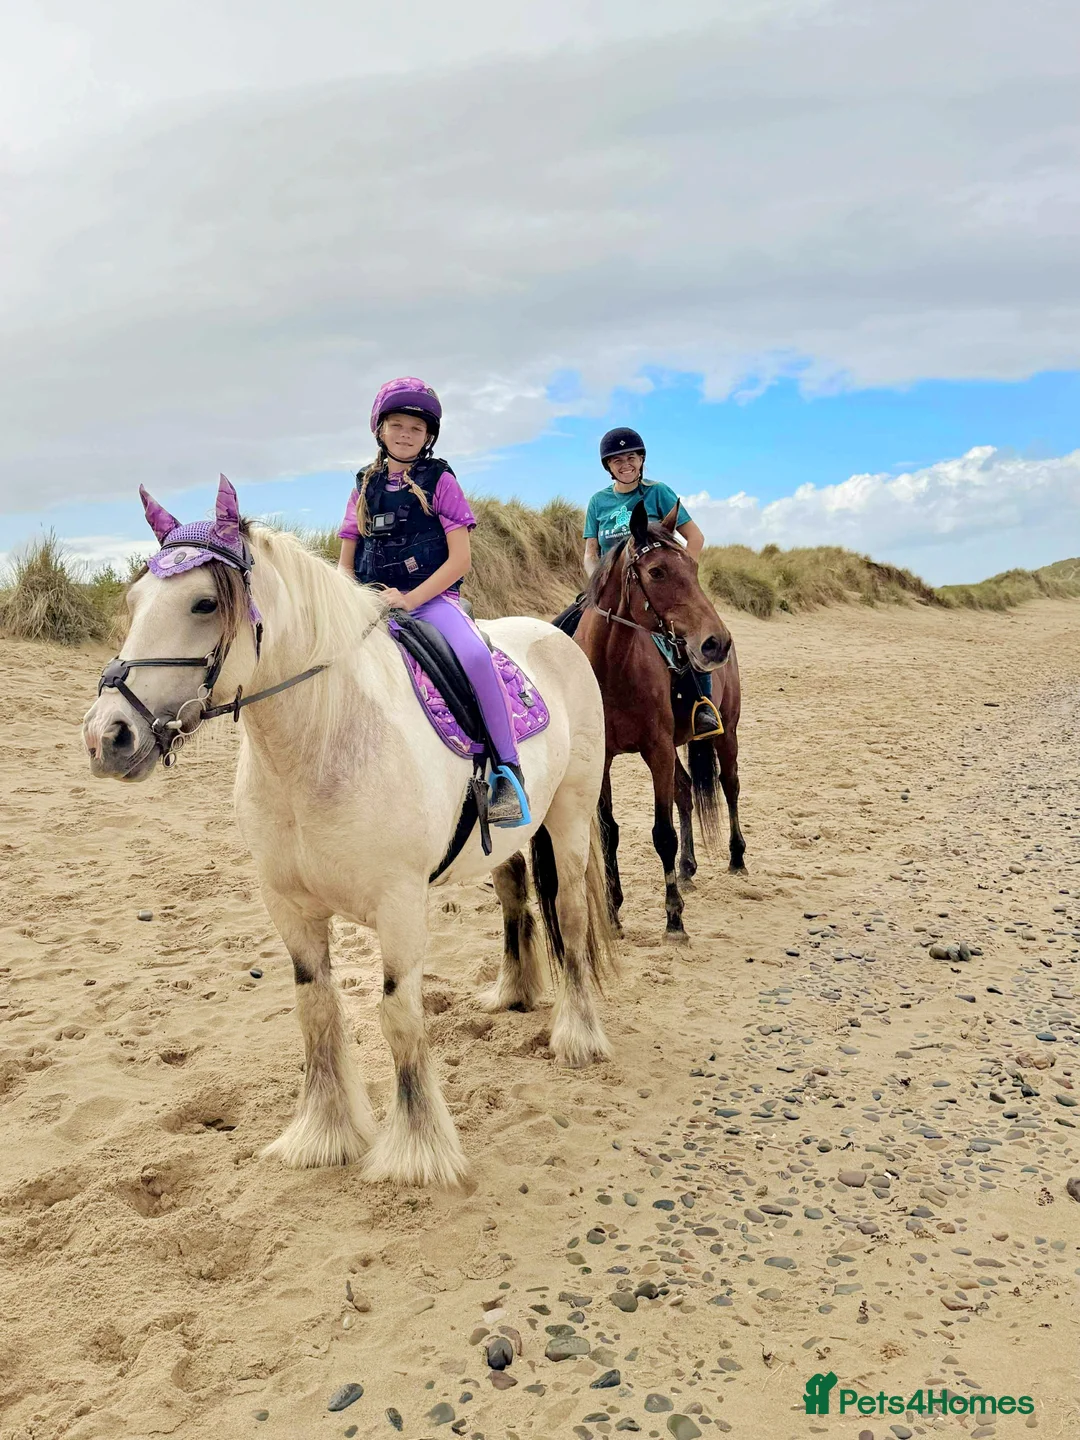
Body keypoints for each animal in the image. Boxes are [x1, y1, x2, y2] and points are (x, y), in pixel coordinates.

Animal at [82, 478, 616, 1188]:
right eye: (135, 602)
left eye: (203, 603)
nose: (107, 736)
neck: (320, 744)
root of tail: (553, 634)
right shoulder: (289, 906)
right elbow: (317, 1010)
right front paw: (324, 1133)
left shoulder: (399, 904)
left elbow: (399, 1016)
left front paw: (416, 1150)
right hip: (508, 839)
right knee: (514, 897)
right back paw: (513, 992)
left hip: (572, 816)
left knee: (572, 916)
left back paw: (578, 1036)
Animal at [573, 499, 745, 944]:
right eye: (656, 572)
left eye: (693, 567)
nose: (716, 642)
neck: (610, 669)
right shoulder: (603, 759)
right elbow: (609, 832)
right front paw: (614, 913)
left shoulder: (658, 750)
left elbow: (662, 833)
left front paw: (674, 920)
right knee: (686, 792)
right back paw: (687, 868)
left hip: (727, 733)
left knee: (730, 786)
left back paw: (737, 858)